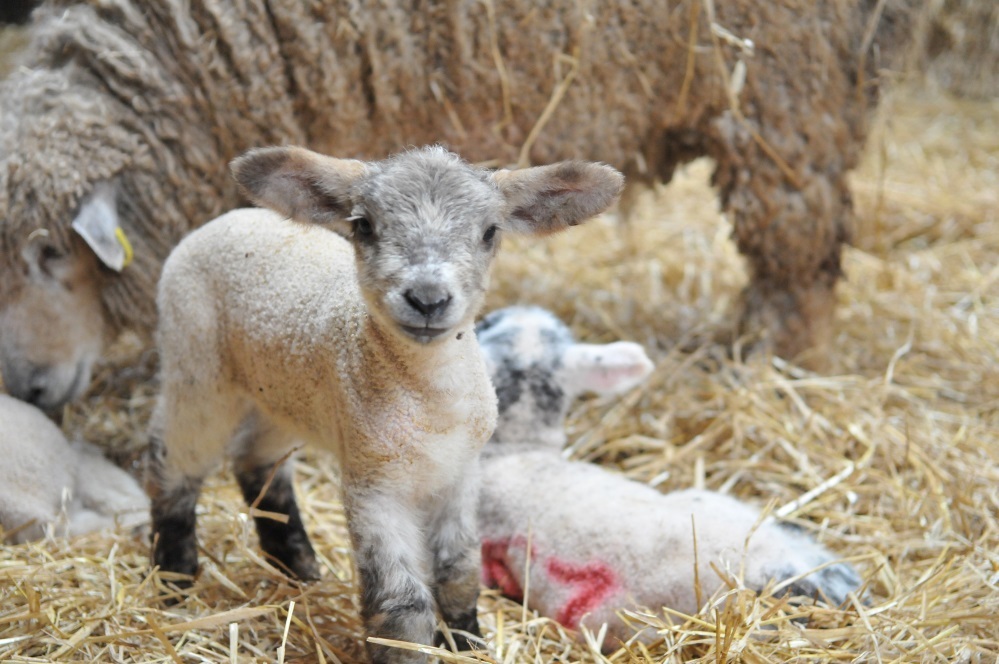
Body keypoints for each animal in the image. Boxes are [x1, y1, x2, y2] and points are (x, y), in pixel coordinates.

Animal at [146, 147, 624, 664]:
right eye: (364, 225)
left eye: (490, 232)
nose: (428, 299)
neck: (429, 403)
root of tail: (234, 216)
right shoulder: (373, 484)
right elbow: (402, 605)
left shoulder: (460, 472)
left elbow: (459, 573)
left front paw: (468, 643)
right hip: (196, 362)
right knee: (172, 459)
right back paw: (174, 577)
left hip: (284, 392)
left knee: (257, 459)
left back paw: (298, 565)